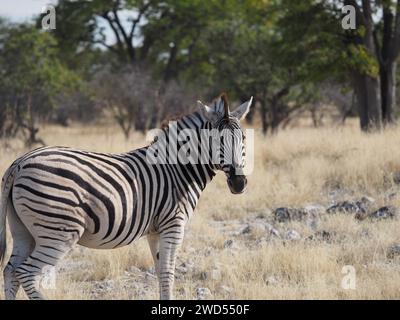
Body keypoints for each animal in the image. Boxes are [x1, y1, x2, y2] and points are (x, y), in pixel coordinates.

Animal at [0, 93, 252, 300]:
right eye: (217, 141)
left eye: (243, 139)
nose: (239, 183)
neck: (177, 169)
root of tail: (19, 163)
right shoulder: (174, 224)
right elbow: (169, 272)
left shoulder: (155, 229)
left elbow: (161, 272)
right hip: (58, 231)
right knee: (26, 273)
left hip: (23, 229)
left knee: (10, 270)